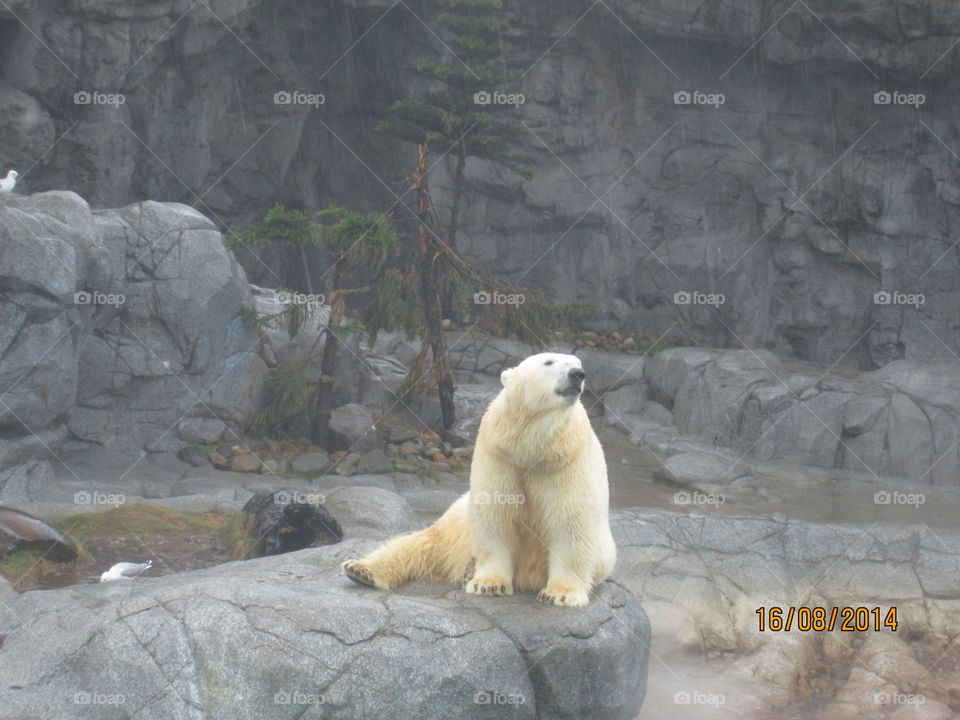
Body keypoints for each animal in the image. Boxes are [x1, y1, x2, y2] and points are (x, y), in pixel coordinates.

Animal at [342, 352, 620, 604]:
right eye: (549, 362)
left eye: (578, 363)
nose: (578, 374)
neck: (532, 445)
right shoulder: (499, 455)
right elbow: (495, 514)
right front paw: (488, 584)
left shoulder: (565, 461)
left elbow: (571, 522)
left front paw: (560, 594)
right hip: (458, 524)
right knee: (420, 544)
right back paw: (361, 570)